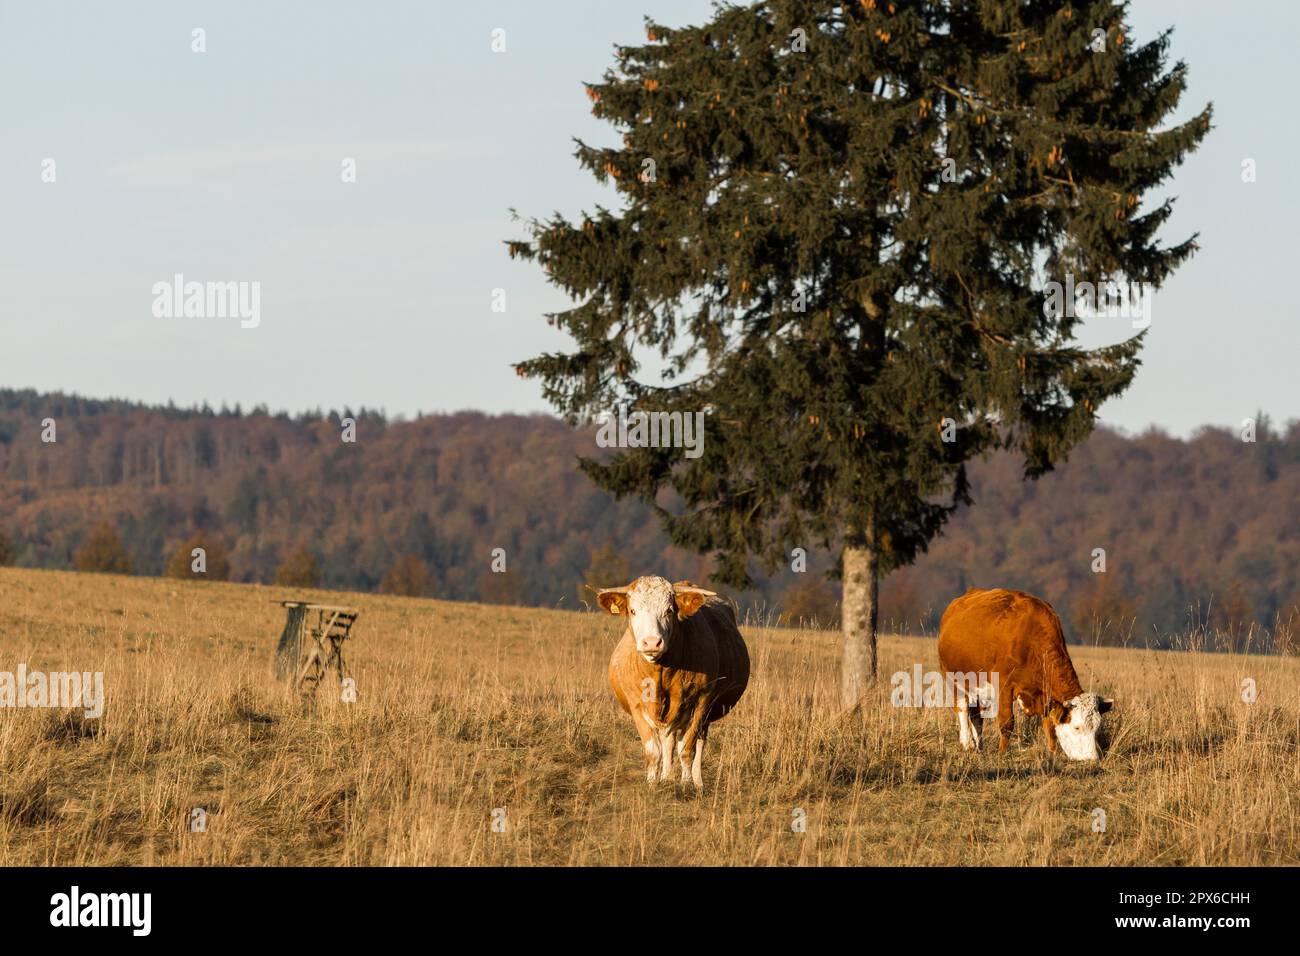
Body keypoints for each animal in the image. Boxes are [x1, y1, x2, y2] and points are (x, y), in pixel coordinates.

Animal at [598, 574, 754, 790]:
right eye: (633, 611)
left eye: (669, 610)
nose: (652, 642)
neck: (661, 674)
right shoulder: (636, 704)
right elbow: (653, 751)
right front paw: (653, 784)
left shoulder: (701, 701)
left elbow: (687, 749)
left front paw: (686, 784)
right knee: (668, 741)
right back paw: (667, 777)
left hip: (703, 713)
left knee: (696, 742)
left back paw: (696, 782)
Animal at [941, 582, 1112, 764]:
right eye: (1077, 727)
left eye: (1097, 727)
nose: (1093, 758)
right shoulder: (1004, 685)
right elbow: (1007, 722)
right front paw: (1002, 754)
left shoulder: (1046, 695)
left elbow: (1050, 728)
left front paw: (1053, 754)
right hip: (953, 678)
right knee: (962, 708)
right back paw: (967, 744)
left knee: (976, 716)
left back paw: (979, 747)